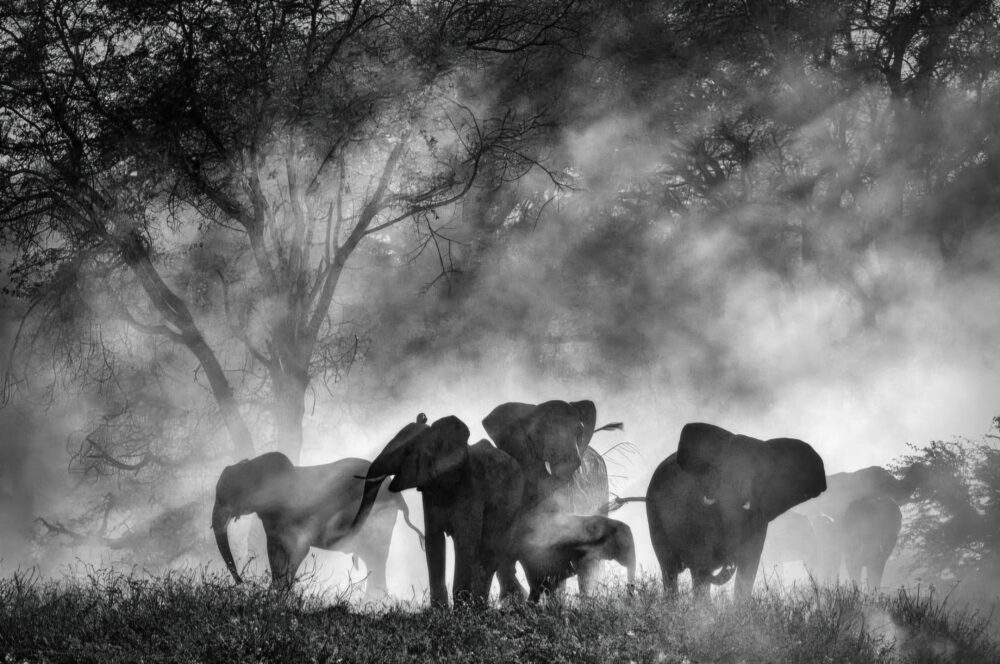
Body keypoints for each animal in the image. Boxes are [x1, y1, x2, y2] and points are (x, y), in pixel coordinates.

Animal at [212, 452, 424, 592]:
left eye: (231, 494)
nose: (243, 584)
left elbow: (298, 550)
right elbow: (274, 554)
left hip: (379, 518)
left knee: (376, 558)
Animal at [351, 414, 524, 607]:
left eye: (407, 452)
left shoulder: (471, 489)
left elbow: (465, 542)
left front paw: (461, 610)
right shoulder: (430, 490)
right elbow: (434, 541)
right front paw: (439, 610)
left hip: (511, 504)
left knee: (490, 552)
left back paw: (479, 608)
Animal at [645, 422, 827, 600]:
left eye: (759, 477)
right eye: (719, 471)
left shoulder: (758, 518)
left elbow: (748, 565)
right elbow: (701, 562)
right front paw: (704, 609)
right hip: (654, 514)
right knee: (670, 569)